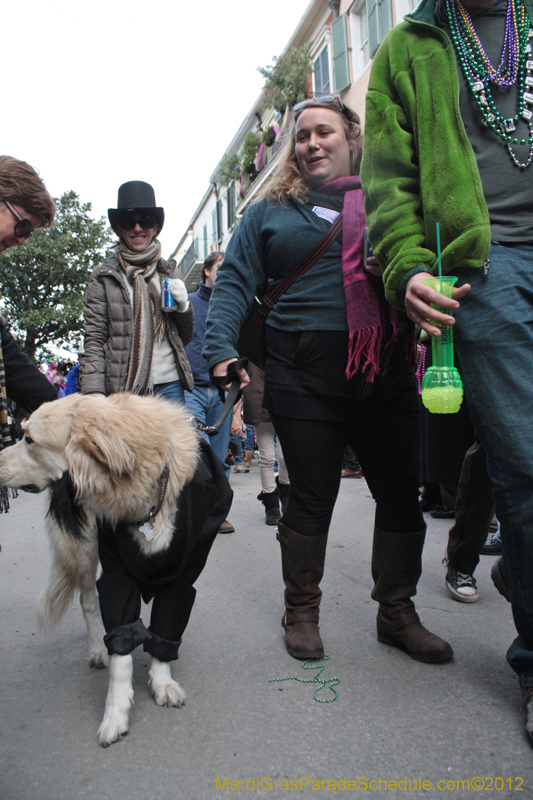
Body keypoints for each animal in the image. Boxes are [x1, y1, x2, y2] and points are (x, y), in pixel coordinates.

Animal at [0, 390, 231, 748]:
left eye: (29, 439)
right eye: (21, 435)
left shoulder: (182, 577)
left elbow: (165, 629)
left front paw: (161, 682)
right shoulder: (116, 574)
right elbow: (120, 649)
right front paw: (116, 713)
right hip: (83, 550)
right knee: (88, 602)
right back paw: (98, 648)